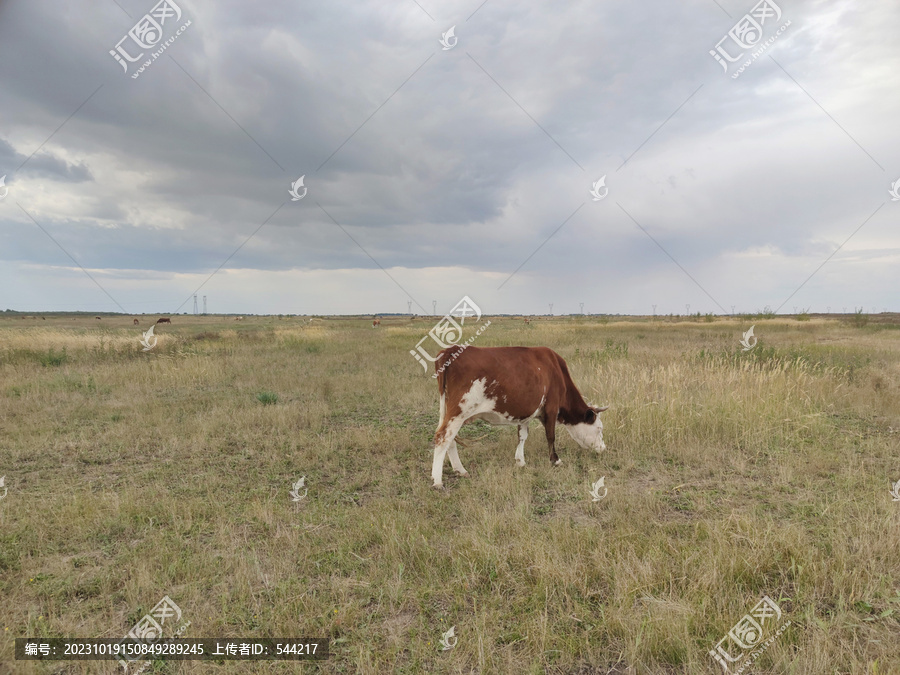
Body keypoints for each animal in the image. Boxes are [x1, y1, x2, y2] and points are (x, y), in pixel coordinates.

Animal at [430, 346, 612, 488]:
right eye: (599, 428)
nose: (604, 448)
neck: (556, 370)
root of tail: (450, 350)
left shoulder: (527, 413)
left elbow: (522, 436)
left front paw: (520, 461)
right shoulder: (551, 408)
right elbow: (550, 436)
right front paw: (555, 460)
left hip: (447, 410)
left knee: (449, 439)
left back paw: (460, 470)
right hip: (459, 411)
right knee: (443, 437)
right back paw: (438, 481)